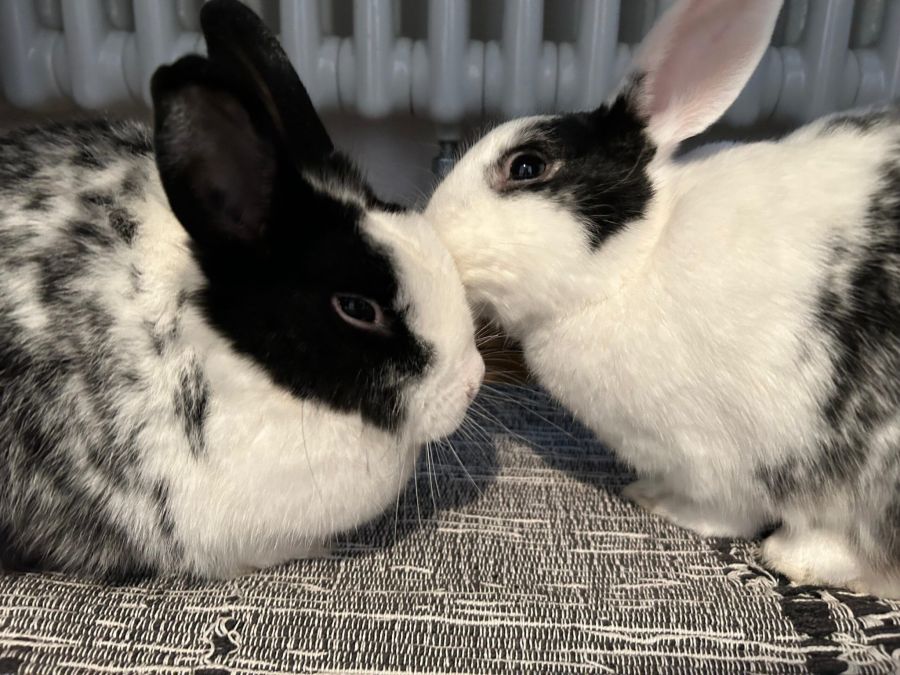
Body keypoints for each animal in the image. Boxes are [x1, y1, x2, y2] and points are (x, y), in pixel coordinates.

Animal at [424, 0, 900, 597]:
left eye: (527, 165)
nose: (432, 234)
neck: (635, 264)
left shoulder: (730, 460)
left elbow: (729, 514)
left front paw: (658, 502)